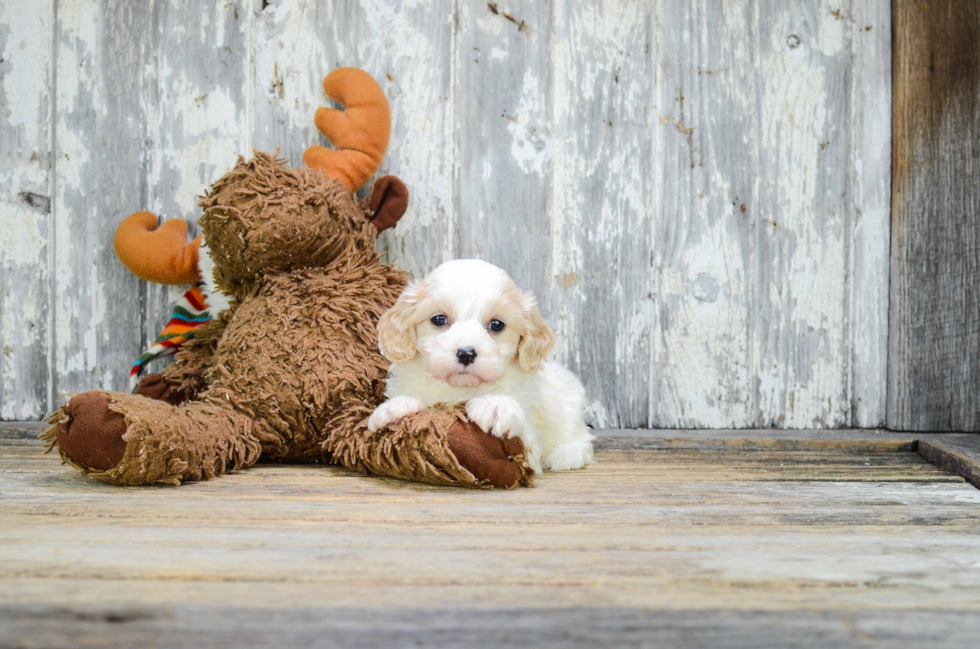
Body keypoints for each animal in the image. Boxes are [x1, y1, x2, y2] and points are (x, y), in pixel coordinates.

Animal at [370, 258, 592, 476]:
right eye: (439, 319)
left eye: (496, 324)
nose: (466, 353)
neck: (460, 388)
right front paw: (395, 408)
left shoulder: (531, 449)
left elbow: (524, 441)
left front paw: (496, 405)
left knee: (584, 439)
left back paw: (566, 453)